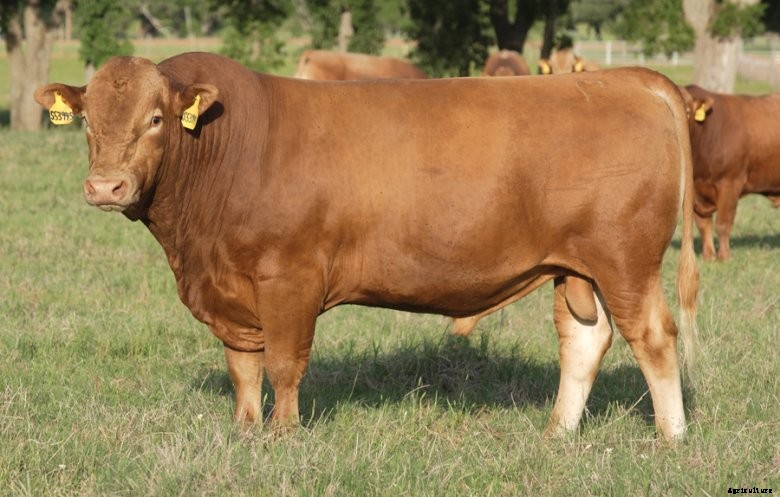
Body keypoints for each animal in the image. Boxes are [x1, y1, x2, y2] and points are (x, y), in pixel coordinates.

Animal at [35, 52, 698, 441]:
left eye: (154, 118)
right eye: (88, 119)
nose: (105, 187)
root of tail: (626, 78)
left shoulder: (289, 277)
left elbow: (284, 362)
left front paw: (283, 435)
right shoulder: (229, 286)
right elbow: (243, 364)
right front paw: (246, 429)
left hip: (626, 260)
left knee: (655, 339)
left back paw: (671, 437)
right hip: (576, 267)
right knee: (585, 340)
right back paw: (557, 433)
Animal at [679, 84, 780, 261]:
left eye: (688, 110)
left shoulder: (730, 183)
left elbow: (722, 224)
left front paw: (724, 257)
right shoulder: (695, 192)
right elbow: (703, 225)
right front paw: (708, 256)